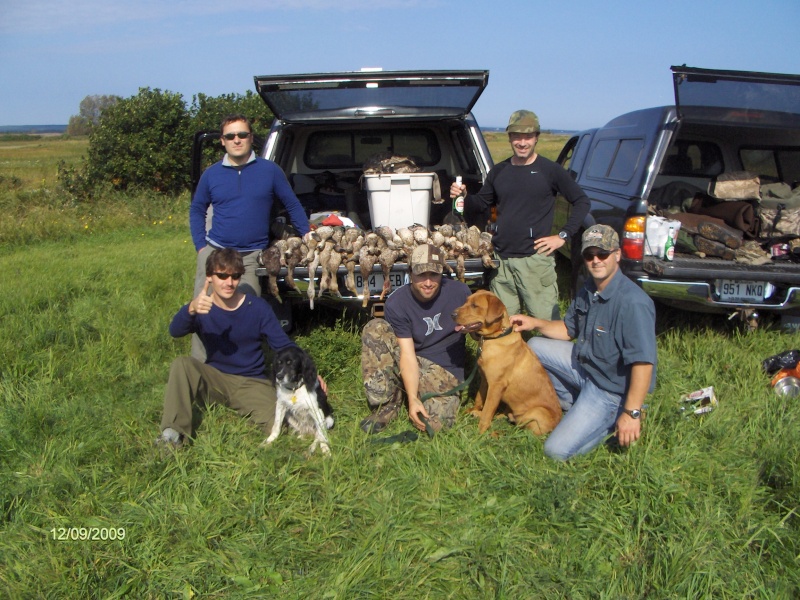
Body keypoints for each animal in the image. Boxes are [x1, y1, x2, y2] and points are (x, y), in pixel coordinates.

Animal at [454, 288, 560, 434]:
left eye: (475, 306)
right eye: (466, 301)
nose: (452, 314)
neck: (494, 337)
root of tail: (557, 424)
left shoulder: (496, 386)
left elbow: (487, 411)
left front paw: (479, 433)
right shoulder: (485, 379)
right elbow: (479, 399)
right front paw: (473, 410)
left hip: (536, 413)